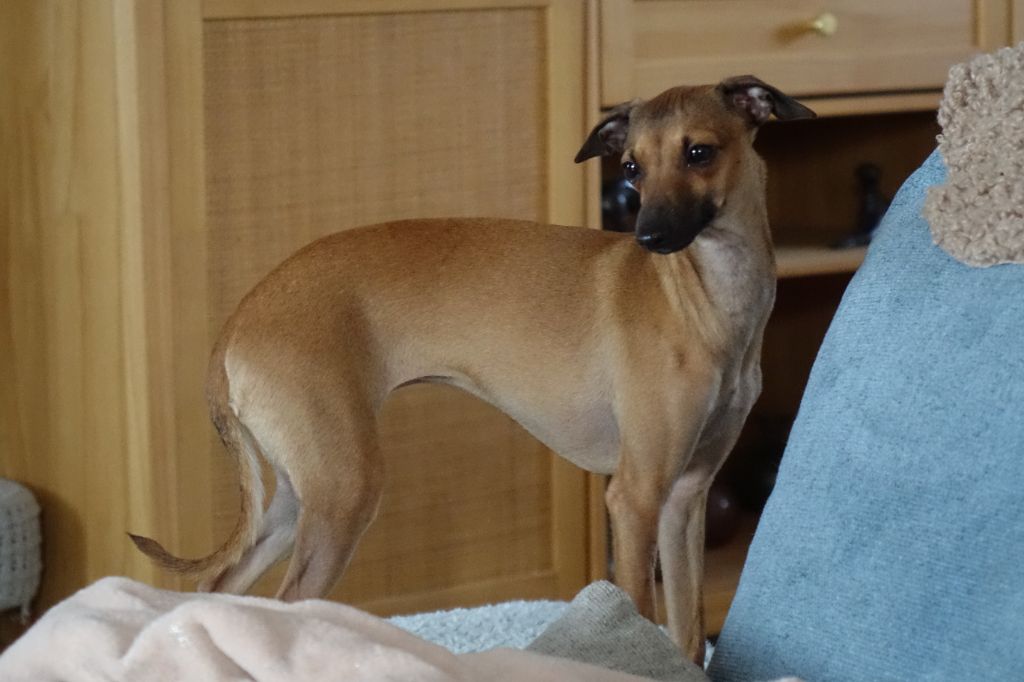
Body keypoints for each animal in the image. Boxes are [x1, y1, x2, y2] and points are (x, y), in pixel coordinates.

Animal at [131, 75, 814, 663]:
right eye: (630, 168)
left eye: (699, 152)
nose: (647, 237)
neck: (706, 306)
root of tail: (236, 324)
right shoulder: (636, 496)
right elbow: (641, 618)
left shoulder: (686, 497)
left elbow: (690, 632)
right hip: (343, 490)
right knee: (284, 605)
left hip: (299, 495)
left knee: (216, 591)